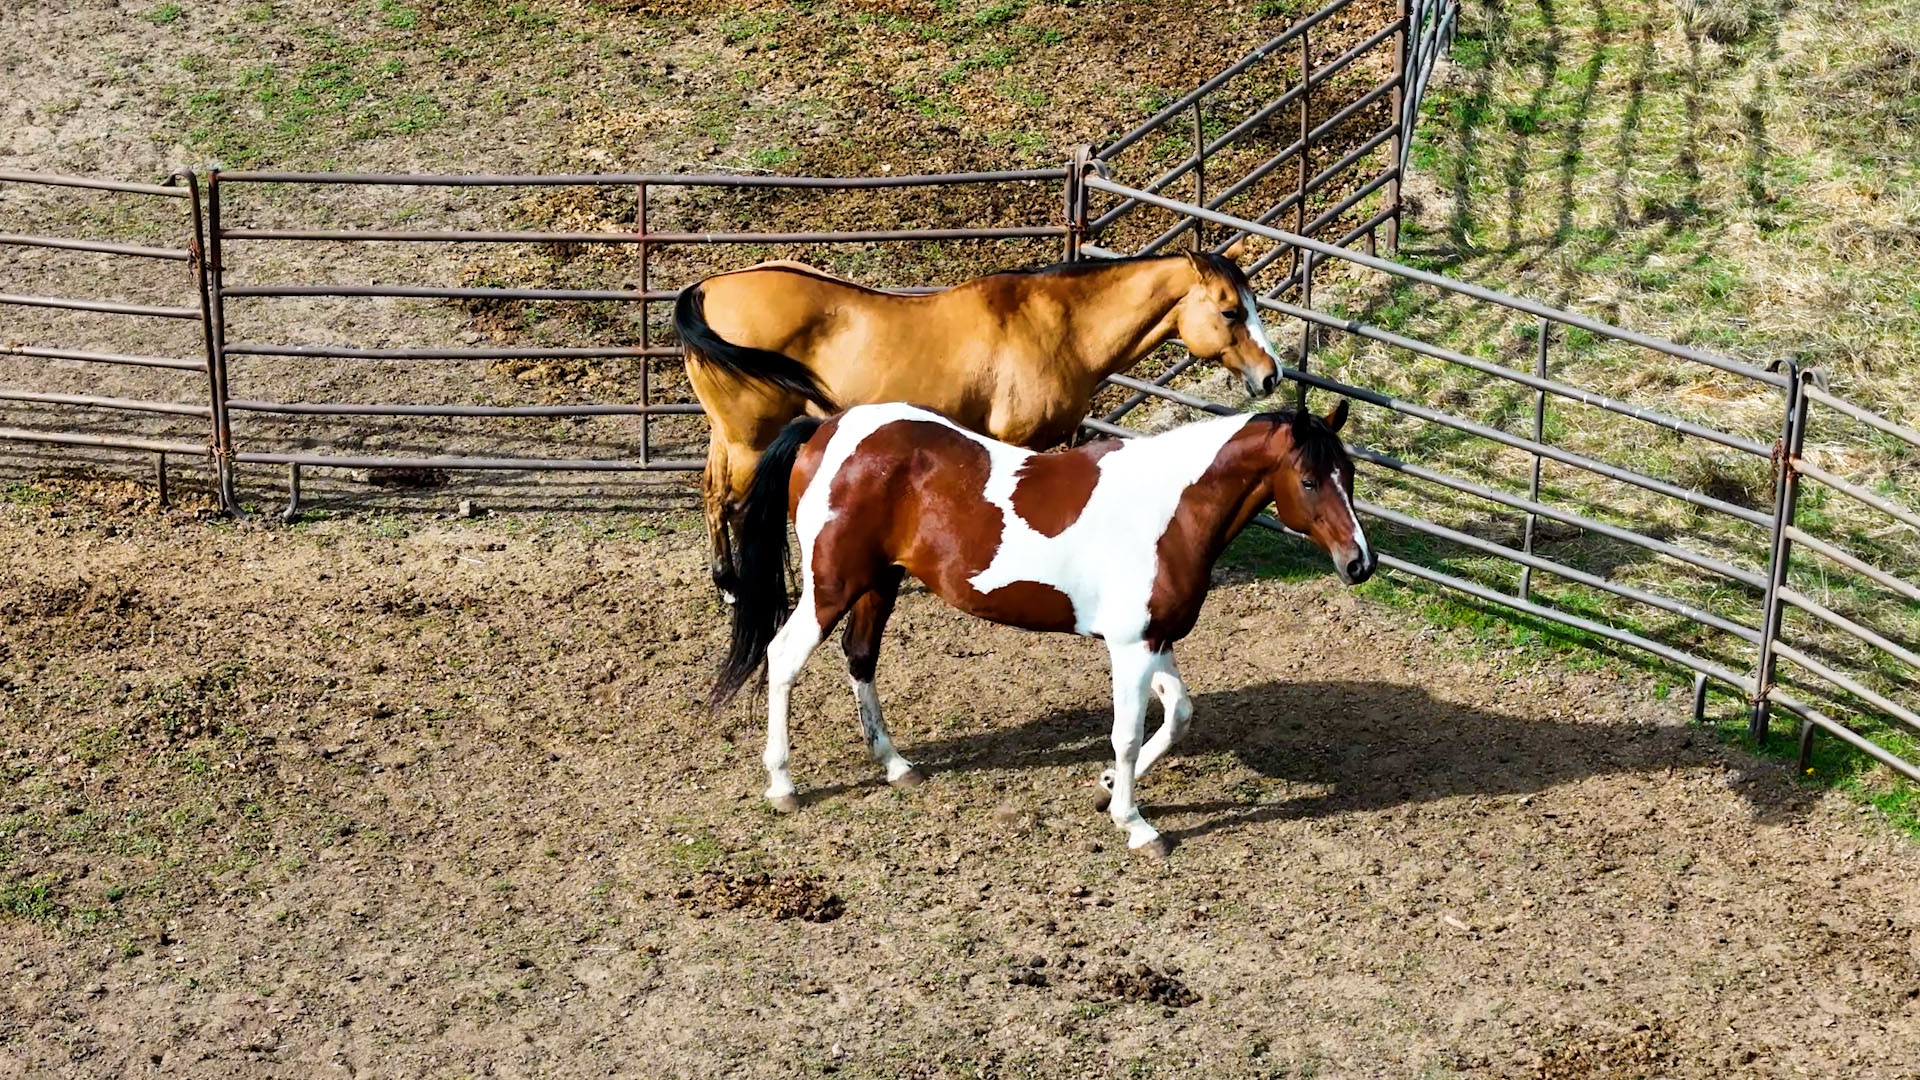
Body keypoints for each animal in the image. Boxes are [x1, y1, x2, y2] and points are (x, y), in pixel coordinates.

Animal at [675, 249, 1290, 599]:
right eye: (1231, 311)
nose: (1271, 375)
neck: (1056, 326)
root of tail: (706, 290)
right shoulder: (1017, 442)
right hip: (751, 441)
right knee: (736, 505)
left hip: (728, 438)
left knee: (712, 497)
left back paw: (727, 583)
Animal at [714, 399, 1374, 853]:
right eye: (1310, 480)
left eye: (1350, 475)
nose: (1359, 564)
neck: (1169, 509)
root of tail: (826, 430)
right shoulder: (1129, 648)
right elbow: (1128, 734)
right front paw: (1136, 824)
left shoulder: (1155, 641)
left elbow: (1179, 715)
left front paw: (1107, 786)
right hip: (833, 586)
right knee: (783, 656)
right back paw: (783, 786)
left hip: (881, 582)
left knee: (861, 657)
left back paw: (897, 767)